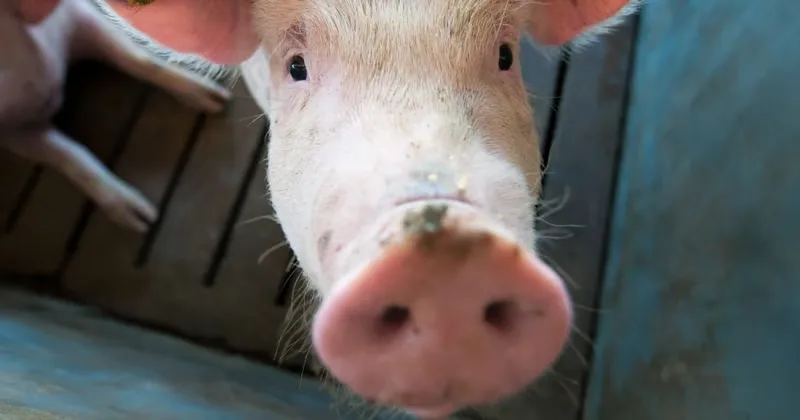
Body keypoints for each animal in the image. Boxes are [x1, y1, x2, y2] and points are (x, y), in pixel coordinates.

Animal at [0, 0, 233, 232]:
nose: (147, 220)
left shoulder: (79, 16)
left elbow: (139, 60)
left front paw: (216, 99)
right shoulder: (14, 131)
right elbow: (70, 153)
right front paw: (143, 218)